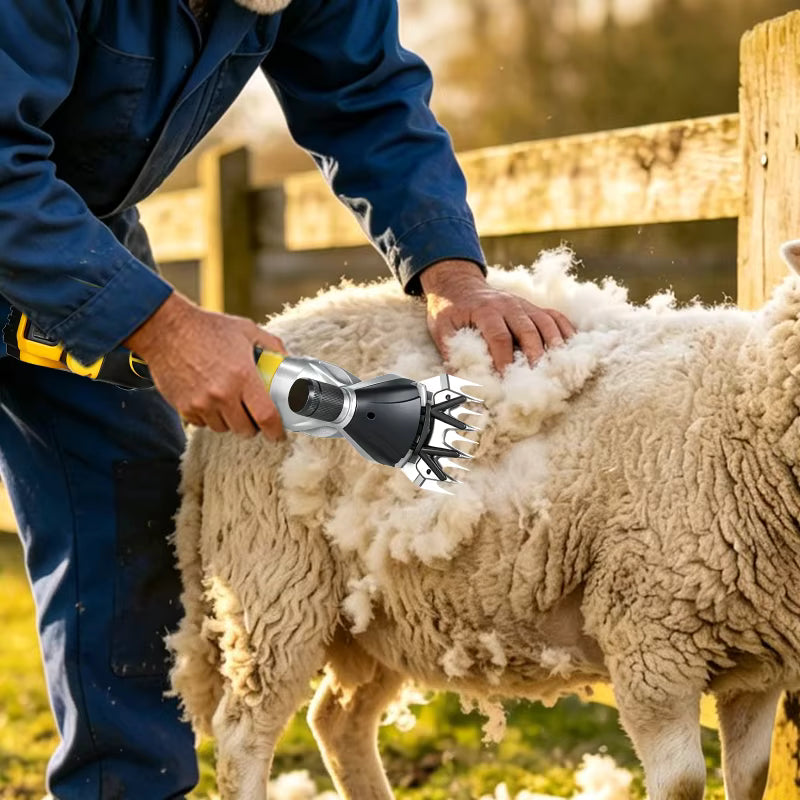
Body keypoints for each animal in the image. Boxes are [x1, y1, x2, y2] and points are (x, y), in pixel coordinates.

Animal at [167, 243, 800, 800]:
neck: (738, 399)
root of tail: (274, 331)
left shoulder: (756, 668)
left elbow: (751, 779)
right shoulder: (649, 643)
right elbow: (684, 784)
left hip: (377, 613)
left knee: (337, 719)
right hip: (274, 579)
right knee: (243, 734)